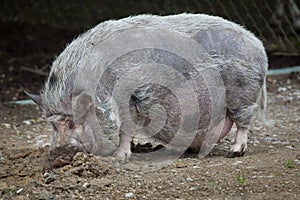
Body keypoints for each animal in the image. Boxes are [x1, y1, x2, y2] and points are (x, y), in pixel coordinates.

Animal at [25, 12, 270, 166]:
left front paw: (120, 157)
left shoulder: (131, 101)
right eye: (52, 126)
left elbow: (125, 130)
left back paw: (234, 152)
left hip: (243, 94)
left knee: (243, 123)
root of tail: (259, 47)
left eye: (72, 123)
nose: (57, 155)